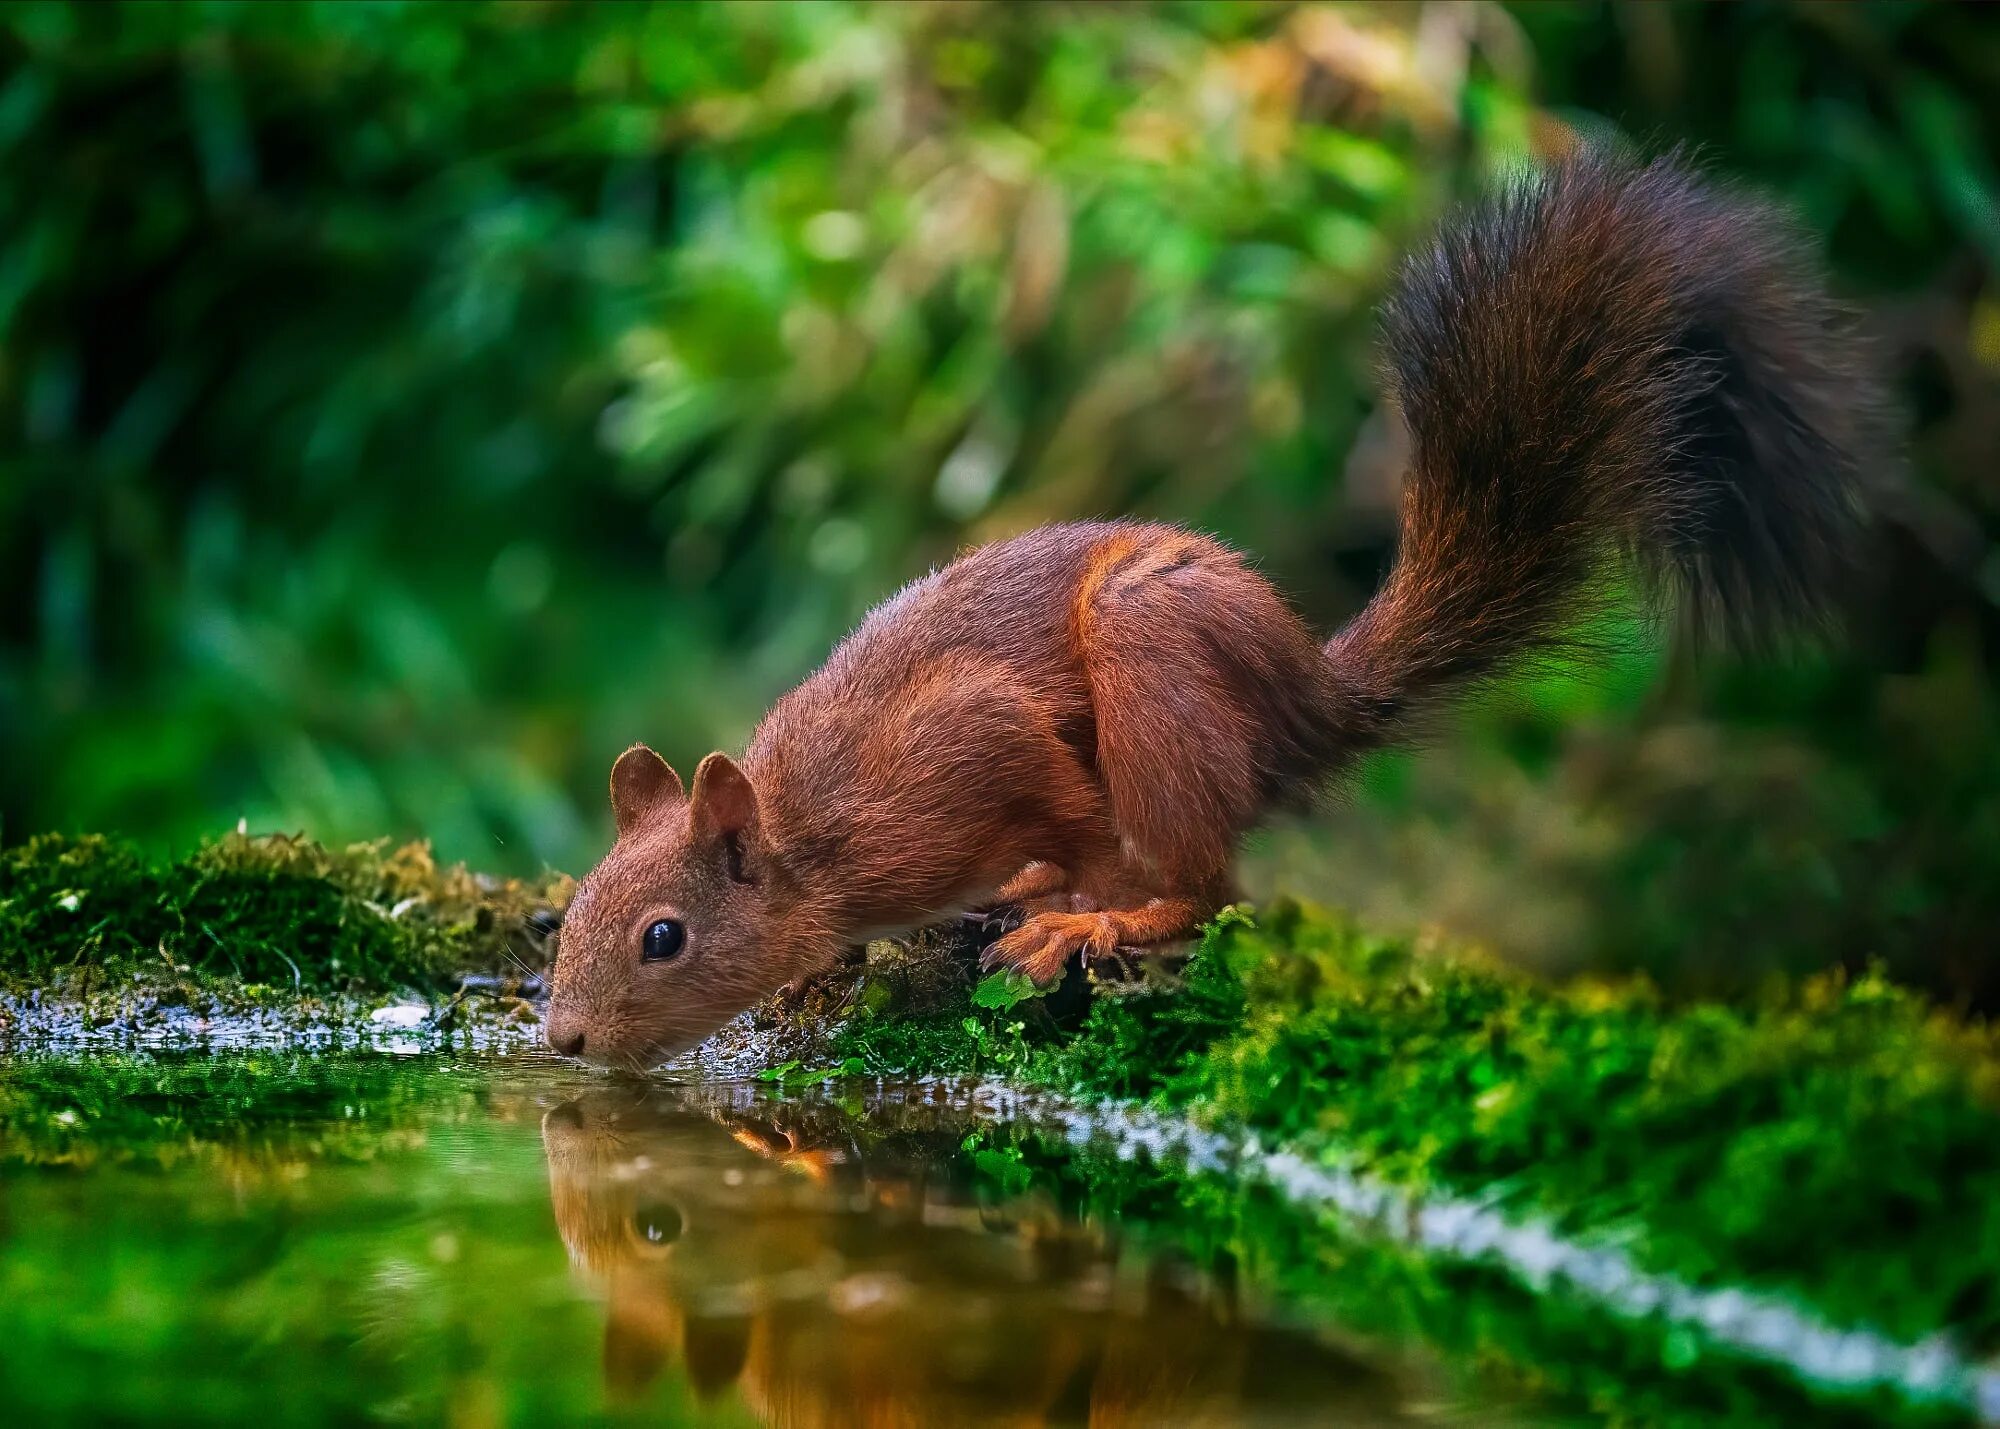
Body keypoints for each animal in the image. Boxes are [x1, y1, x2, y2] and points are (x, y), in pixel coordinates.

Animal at [544, 156, 1872, 1072]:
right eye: (566, 915)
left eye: (663, 936)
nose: (561, 1041)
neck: (814, 834)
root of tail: (1310, 698)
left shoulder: (969, 743)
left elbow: (1075, 812)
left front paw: (1074, 905)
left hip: (1154, 662)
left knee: (1210, 876)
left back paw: (1098, 910)